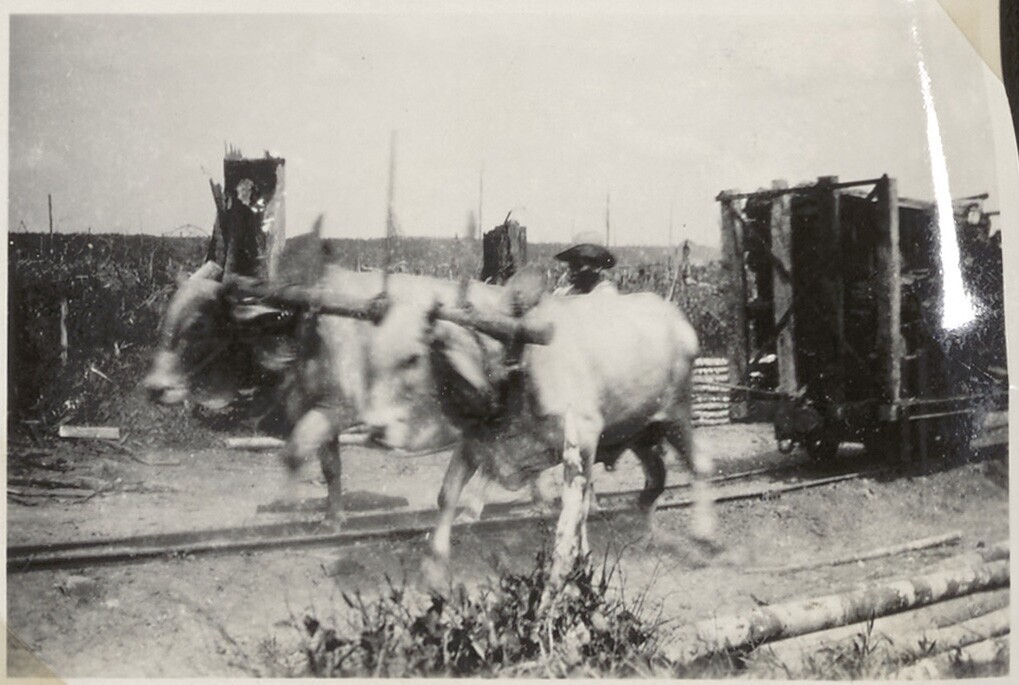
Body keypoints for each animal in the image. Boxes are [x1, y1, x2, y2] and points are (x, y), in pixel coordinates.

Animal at [359, 280, 717, 590]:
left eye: (411, 359)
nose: (375, 430)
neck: (515, 359)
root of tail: (675, 317)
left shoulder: (583, 437)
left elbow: (573, 511)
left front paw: (567, 570)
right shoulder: (475, 442)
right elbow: (446, 495)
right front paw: (433, 568)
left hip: (674, 416)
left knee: (700, 464)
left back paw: (704, 538)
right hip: (638, 432)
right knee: (655, 476)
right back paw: (644, 533)